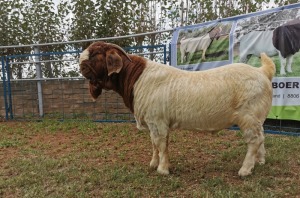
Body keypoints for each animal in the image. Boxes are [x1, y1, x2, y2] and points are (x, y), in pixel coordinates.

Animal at [78, 41, 276, 176]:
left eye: (95, 54)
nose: (80, 66)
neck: (136, 78)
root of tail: (262, 72)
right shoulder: (153, 123)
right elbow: (154, 144)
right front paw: (153, 163)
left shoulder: (158, 121)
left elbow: (161, 144)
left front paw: (163, 169)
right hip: (257, 118)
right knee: (262, 137)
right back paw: (260, 161)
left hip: (248, 116)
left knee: (254, 140)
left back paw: (245, 169)